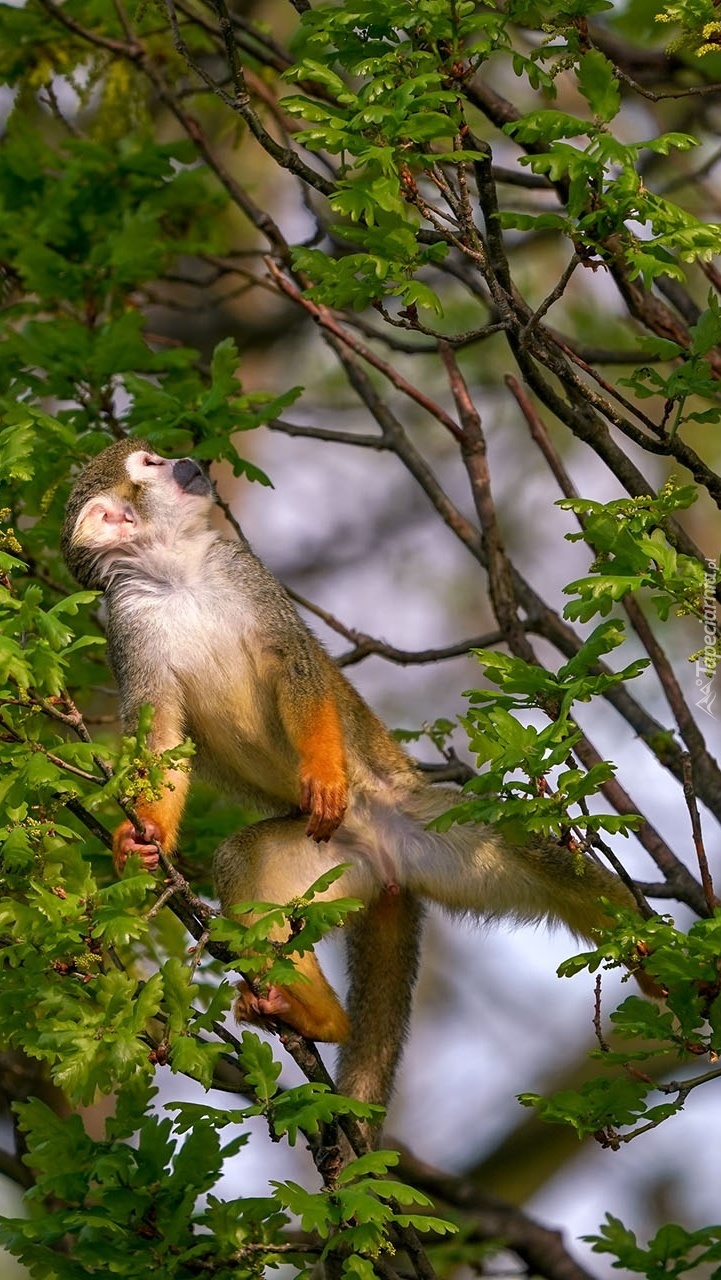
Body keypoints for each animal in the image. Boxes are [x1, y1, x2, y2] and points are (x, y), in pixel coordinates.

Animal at [63, 445, 655, 1116]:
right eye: (150, 461)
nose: (186, 459)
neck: (175, 575)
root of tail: (389, 862)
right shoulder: (126, 626)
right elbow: (162, 738)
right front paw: (144, 837)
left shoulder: (241, 568)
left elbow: (295, 666)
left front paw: (322, 772)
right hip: (336, 864)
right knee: (242, 865)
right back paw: (318, 1017)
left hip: (430, 823)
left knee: (537, 859)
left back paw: (648, 949)